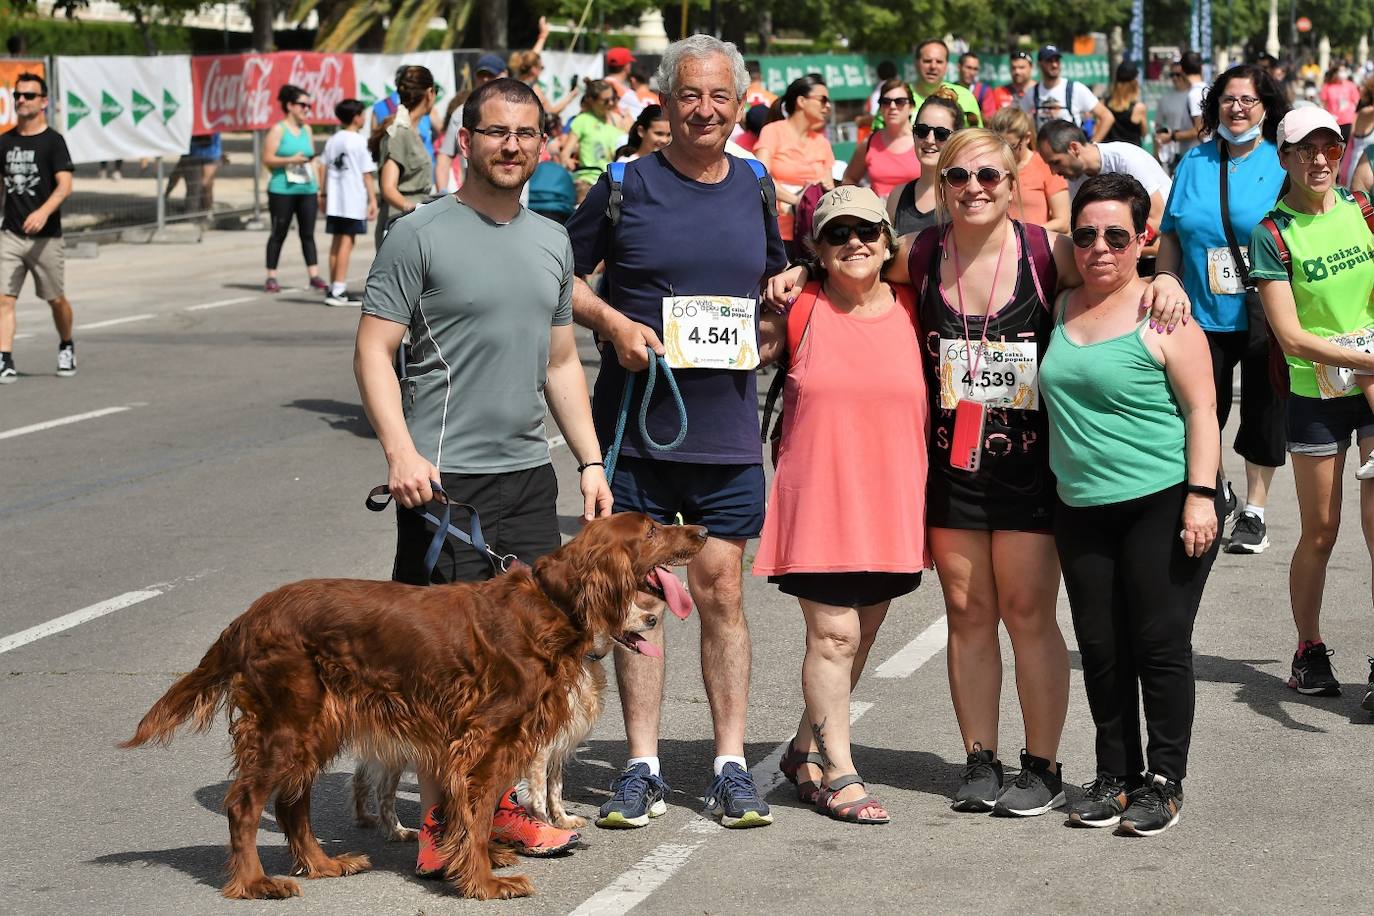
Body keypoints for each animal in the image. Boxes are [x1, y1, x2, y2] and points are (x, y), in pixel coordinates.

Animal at [122, 516, 703, 900]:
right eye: (652, 530)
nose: (699, 532)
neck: (552, 606)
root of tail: (249, 616)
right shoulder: (484, 739)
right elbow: (479, 810)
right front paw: (485, 881)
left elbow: (478, 812)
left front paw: (477, 861)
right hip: (289, 724)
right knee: (245, 803)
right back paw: (255, 882)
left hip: (315, 725)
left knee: (291, 802)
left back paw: (323, 863)